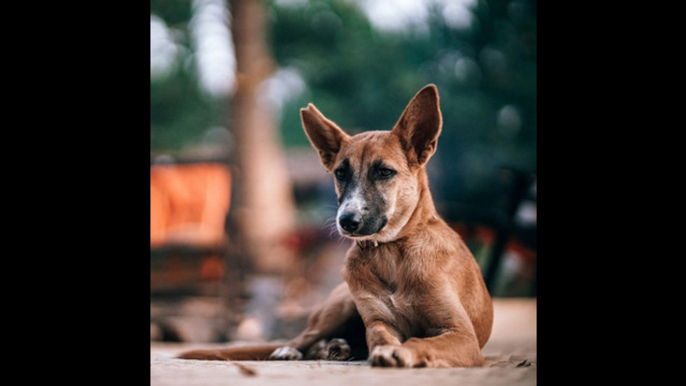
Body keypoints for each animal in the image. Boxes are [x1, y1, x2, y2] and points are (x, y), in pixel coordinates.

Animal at [179, 83, 494, 368]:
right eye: (341, 173)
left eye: (385, 172)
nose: (347, 221)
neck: (391, 252)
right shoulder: (378, 322)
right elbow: (379, 337)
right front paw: (386, 349)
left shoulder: (462, 335)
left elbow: (419, 340)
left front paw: (401, 352)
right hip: (340, 306)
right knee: (303, 337)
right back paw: (297, 350)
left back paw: (335, 348)